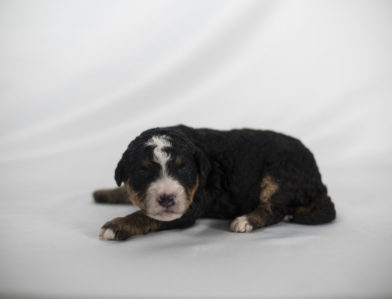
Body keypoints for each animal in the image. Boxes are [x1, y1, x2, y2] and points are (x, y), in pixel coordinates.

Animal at [93, 125, 336, 241]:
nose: (167, 198)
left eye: (184, 168)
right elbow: (124, 192)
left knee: (274, 210)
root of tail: (319, 181)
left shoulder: (188, 209)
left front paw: (116, 226)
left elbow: (144, 216)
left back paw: (245, 220)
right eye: (143, 171)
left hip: (278, 177)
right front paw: (102, 193)